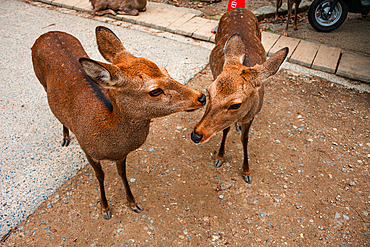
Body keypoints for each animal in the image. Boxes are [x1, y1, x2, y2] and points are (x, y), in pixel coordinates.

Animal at [31, 26, 205, 220]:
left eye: (165, 70)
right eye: (155, 91)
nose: (201, 97)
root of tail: (48, 33)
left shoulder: (121, 155)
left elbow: (122, 173)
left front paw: (133, 202)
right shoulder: (88, 150)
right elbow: (100, 176)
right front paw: (105, 208)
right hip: (41, 81)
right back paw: (66, 137)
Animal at [191, 8, 290, 183]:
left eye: (236, 104)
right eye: (208, 92)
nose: (196, 135)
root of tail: (239, 9)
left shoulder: (252, 115)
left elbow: (245, 139)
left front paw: (246, 172)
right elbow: (225, 130)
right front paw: (220, 157)